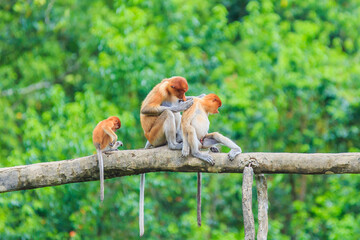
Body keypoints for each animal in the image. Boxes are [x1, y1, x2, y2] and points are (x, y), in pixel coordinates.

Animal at [139, 77, 194, 236]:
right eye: (181, 91)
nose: (183, 97)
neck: (169, 89)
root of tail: (149, 139)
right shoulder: (161, 91)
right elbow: (145, 109)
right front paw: (182, 105)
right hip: (155, 136)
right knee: (168, 113)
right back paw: (173, 144)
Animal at [181, 93, 243, 227]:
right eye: (218, 105)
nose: (218, 111)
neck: (202, 105)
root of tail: (200, 145)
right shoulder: (194, 104)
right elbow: (185, 123)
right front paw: (185, 149)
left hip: (204, 140)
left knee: (216, 135)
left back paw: (235, 150)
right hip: (197, 142)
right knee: (190, 128)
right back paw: (197, 153)